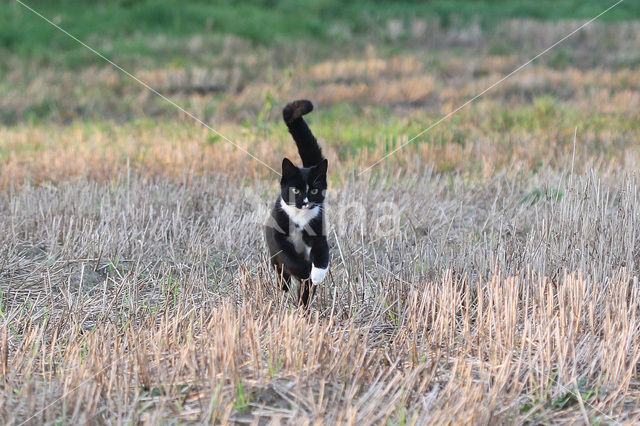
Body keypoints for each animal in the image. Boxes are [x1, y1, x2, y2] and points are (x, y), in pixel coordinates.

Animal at [264, 99, 330, 306]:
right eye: (296, 191)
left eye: (314, 190)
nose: (306, 201)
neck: (300, 217)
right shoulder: (277, 237)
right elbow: (287, 256)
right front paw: (304, 270)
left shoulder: (319, 232)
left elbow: (322, 254)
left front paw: (316, 275)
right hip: (274, 260)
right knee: (282, 274)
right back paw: (285, 292)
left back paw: (304, 304)